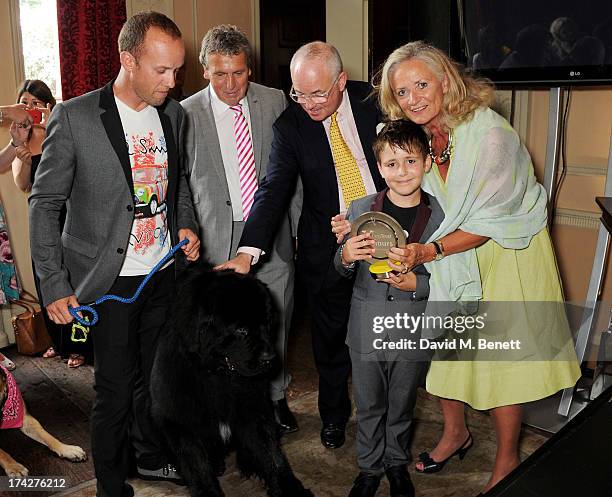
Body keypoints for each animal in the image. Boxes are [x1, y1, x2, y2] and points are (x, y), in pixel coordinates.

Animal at [151, 268, 314, 496]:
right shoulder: (182, 424)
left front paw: (288, 488)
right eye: (241, 330)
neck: (218, 376)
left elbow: (271, 455)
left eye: (266, 324)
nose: (269, 358)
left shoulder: (253, 410)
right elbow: (198, 468)